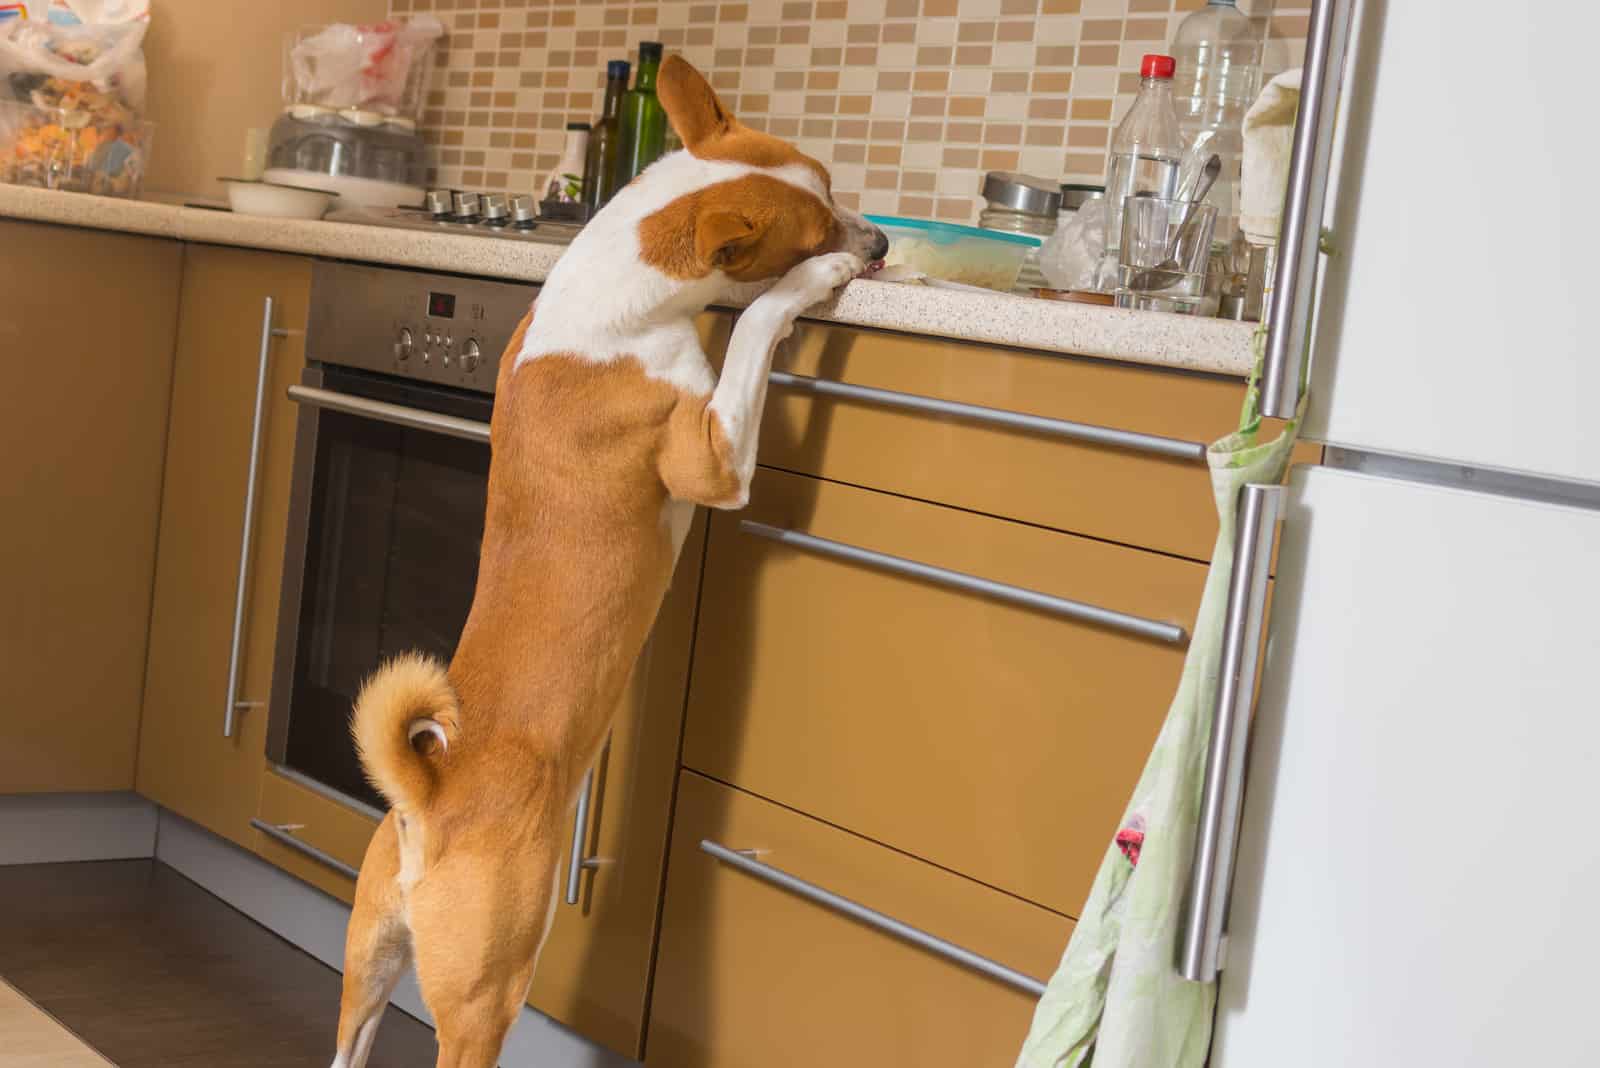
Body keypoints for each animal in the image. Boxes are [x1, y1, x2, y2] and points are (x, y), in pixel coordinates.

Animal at [324, 58, 889, 1068]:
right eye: (818, 227)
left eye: (831, 183)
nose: (884, 242)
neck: (613, 292)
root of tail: (430, 797)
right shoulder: (713, 456)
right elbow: (756, 328)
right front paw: (810, 285)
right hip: (488, 989)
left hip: (367, 963)